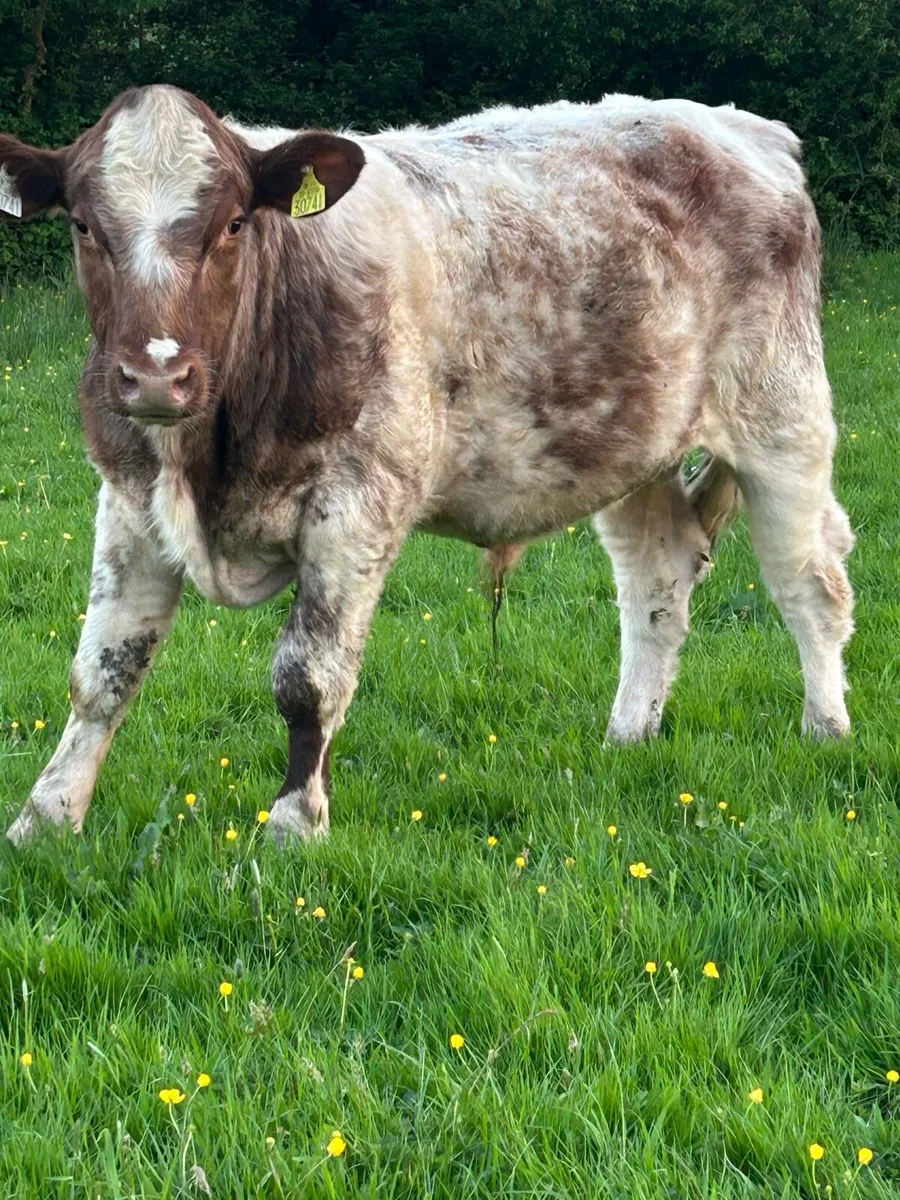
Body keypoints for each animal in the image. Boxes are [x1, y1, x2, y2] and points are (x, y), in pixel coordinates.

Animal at [1, 85, 854, 845]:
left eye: (234, 223)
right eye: (84, 225)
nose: (155, 376)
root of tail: (745, 126)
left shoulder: (358, 503)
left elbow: (308, 677)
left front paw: (294, 826)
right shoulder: (130, 502)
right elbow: (103, 670)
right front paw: (45, 819)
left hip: (784, 421)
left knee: (810, 584)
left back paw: (826, 729)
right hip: (632, 446)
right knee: (658, 581)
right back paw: (627, 735)